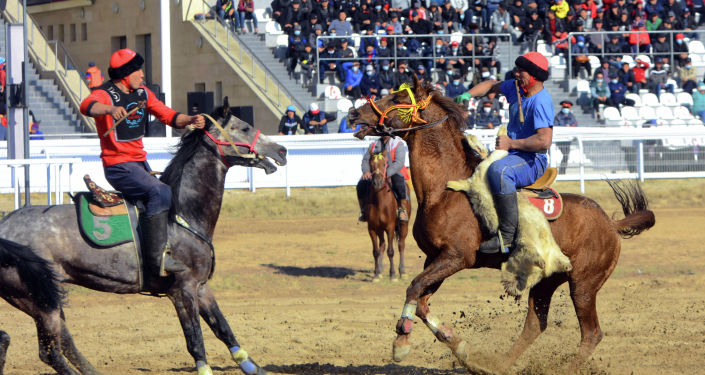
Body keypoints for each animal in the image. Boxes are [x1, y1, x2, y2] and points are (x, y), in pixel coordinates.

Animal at [0, 100, 288, 375]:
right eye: (244, 128)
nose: (282, 150)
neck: (180, 214)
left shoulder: (201, 287)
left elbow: (225, 330)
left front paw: (254, 367)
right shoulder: (182, 290)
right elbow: (195, 341)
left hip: (44, 297)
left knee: (63, 343)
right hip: (35, 298)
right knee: (50, 351)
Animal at [366, 153, 410, 282]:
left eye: (384, 164)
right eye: (371, 164)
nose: (377, 182)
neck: (380, 202)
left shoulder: (390, 227)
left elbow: (391, 251)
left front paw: (393, 275)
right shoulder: (372, 229)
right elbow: (375, 251)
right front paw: (376, 274)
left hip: (403, 226)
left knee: (401, 245)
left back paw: (402, 271)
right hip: (380, 230)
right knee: (382, 245)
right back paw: (380, 270)